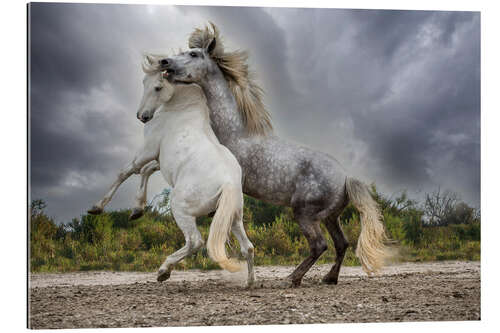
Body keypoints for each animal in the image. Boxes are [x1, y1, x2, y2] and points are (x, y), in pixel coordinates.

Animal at [86, 55, 256, 286]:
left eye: (158, 87)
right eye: (144, 83)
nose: (142, 116)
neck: (181, 108)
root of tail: (228, 183)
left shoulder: (147, 151)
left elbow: (128, 171)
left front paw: (97, 207)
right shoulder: (159, 160)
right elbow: (146, 172)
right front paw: (137, 210)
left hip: (181, 209)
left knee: (195, 241)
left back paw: (164, 271)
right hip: (234, 218)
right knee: (248, 247)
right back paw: (249, 282)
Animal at [158, 24, 388, 286]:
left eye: (194, 54)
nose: (165, 62)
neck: (235, 134)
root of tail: (346, 178)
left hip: (305, 214)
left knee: (319, 245)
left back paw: (292, 278)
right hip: (330, 217)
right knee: (342, 243)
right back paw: (329, 278)